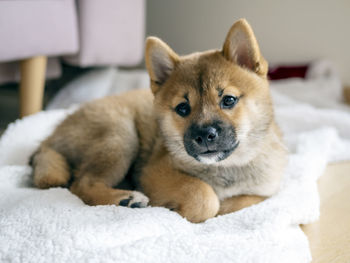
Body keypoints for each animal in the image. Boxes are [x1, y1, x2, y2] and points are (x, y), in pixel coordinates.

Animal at [30, 19, 288, 224]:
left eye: (229, 100)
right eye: (183, 108)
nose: (204, 136)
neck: (227, 168)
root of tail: (48, 140)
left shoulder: (266, 191)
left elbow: (242, 202)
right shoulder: (154, 172)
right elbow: (203, 195)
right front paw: (179, 207)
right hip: (120, 135)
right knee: (82, 183)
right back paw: (126, 198)